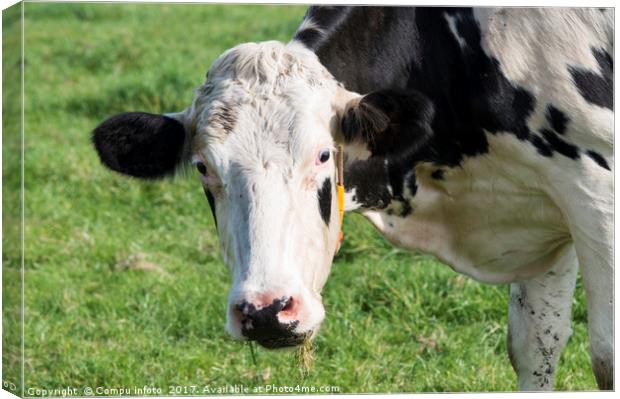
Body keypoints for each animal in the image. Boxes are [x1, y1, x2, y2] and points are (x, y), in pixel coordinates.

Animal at [89, 6, 612, 392]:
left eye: (324, 154)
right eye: (202, 166)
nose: (267, 312)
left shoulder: (592, 194)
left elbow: (604, 354)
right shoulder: (547, 206)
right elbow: (534, 345)